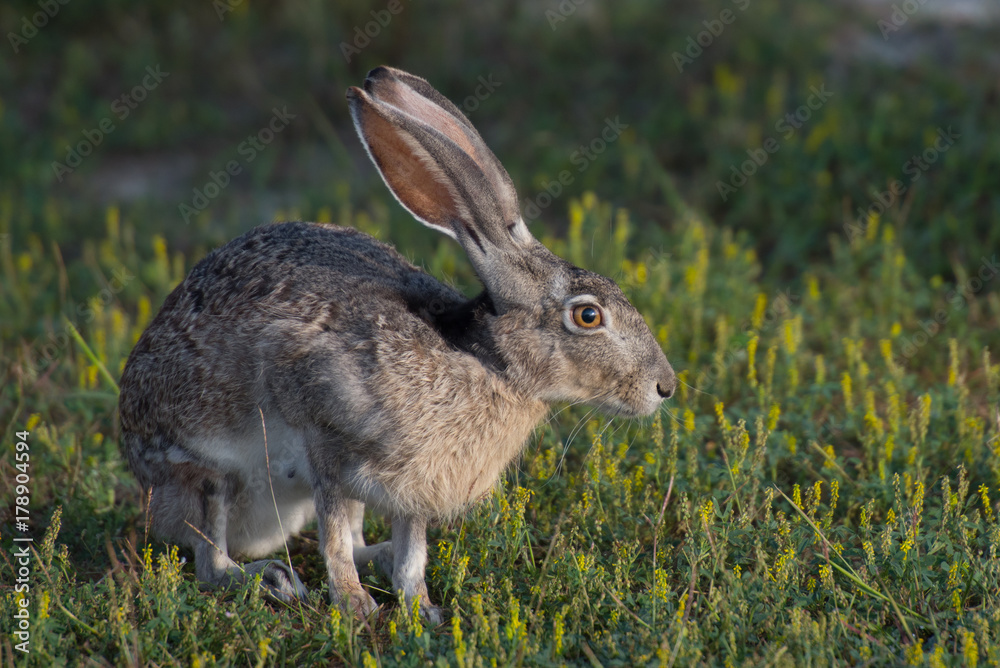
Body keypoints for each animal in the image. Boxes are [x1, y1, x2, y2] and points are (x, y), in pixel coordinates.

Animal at [118, 66, 676, 623]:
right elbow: (334, 537)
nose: (665, 387)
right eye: (588, 315)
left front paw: (421, 608)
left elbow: (412, 548)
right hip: (203, 472)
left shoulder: (416, 488)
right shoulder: (325, 437)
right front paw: (355, 606)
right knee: (211, 559)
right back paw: (269, 578)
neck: (488, 362)